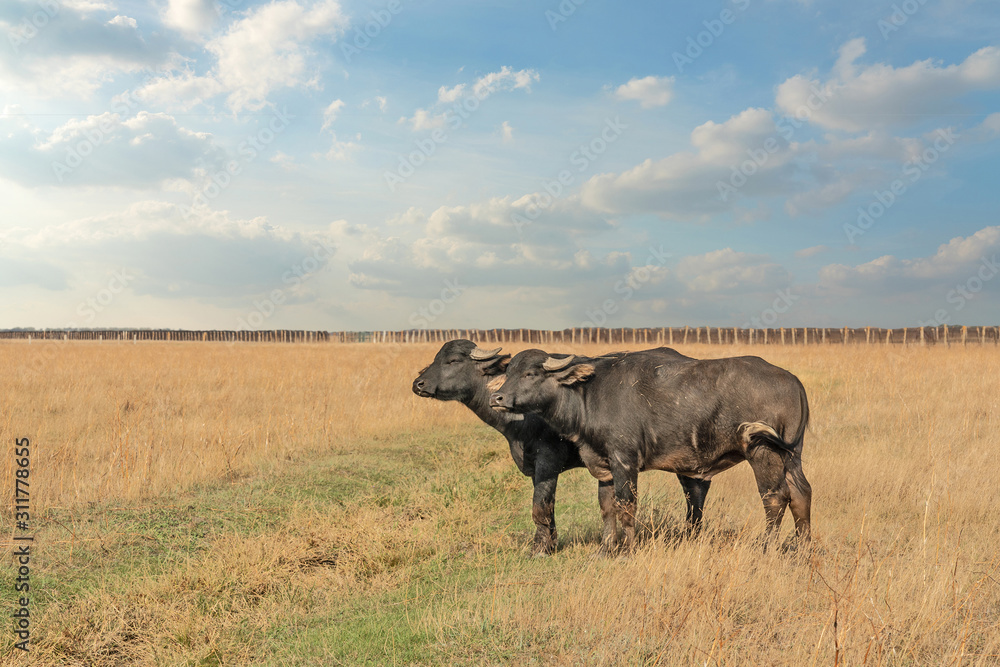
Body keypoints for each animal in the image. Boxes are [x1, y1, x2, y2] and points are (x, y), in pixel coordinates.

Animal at [412, 340, 714, 555]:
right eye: (436, 358)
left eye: (452, 360)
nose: (418, 383)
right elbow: (548, 506)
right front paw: (550, 542)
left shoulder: (548, 461)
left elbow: (540, 505)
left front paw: (539, 549)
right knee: (696, 491)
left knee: (695, 493)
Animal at [489, 347, 812, 554]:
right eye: (509, 371)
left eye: (531, 373)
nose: (497, 398)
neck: (587, 394)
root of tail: (793, 380)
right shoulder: (604, 466)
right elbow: (606, 508)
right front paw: (606, 549)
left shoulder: (625, 461)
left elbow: (626, 506)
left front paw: (627, 549)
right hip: (792, 456)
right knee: (801, 494)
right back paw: (803, 547)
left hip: (763, 452)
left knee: (775, 497)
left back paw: (767, 547)